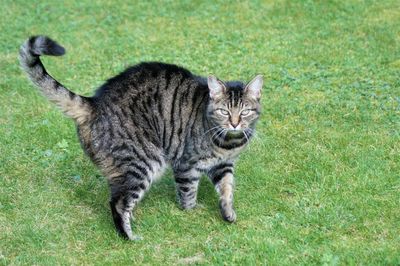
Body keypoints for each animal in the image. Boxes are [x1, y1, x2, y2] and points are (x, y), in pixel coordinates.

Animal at [19, 35, 262, 241]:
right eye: (224, 111)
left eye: (245, 112)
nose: (235, 123)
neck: (228, 143)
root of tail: (94, 103)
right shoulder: (186, 164)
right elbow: (188, 192)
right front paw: (190, 212)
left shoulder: (224, 165)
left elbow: (227, 189)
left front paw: (228, 212)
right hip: (144, 161)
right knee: (117, 203)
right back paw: (129, 236)